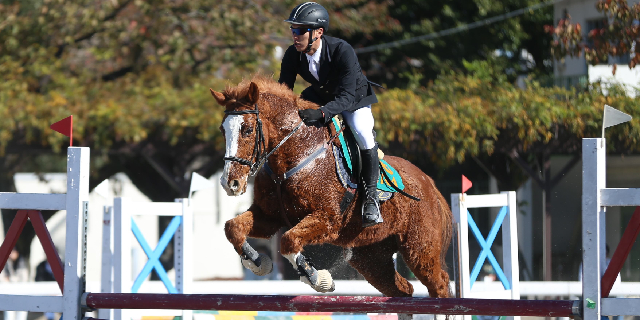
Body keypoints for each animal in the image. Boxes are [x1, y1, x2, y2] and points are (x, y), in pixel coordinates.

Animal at [210, 75, 450, 300]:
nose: (230, 183)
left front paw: (318, 279)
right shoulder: (269, 217)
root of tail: (428, 182)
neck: (296, 155)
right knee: (403, 288)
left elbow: (289, 241)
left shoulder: (327, 219)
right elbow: (233, 228)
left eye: (248, 130)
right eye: (222, 130)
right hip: (371, 256)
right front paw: (258, 262)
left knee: (439, 284)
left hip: (420, 248)